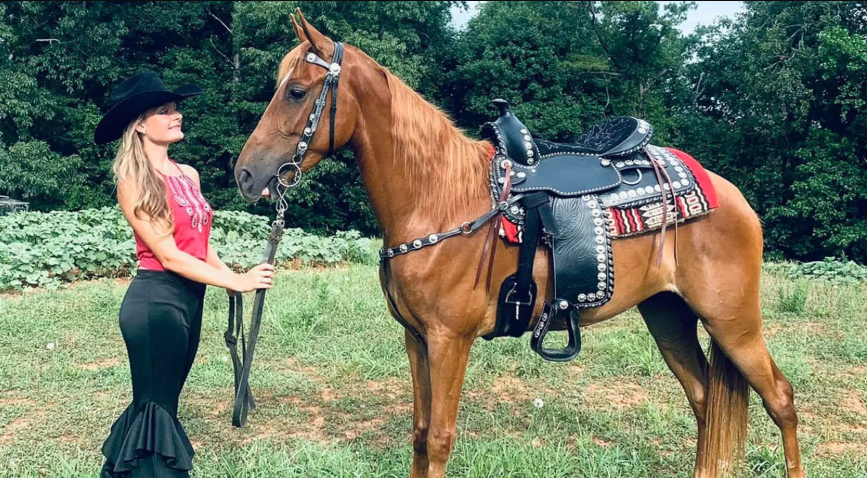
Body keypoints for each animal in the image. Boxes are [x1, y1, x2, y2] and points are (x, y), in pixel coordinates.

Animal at [233, 10, 805, 478]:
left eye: (297, 91)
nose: (244, 174)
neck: (439, 198)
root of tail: (729, 193)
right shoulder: (417, 340)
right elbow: (419, 436)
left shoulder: (449, 340)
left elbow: (438, 439)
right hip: (668, 314)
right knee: (706, 401)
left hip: (733, 322)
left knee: (780, 398)